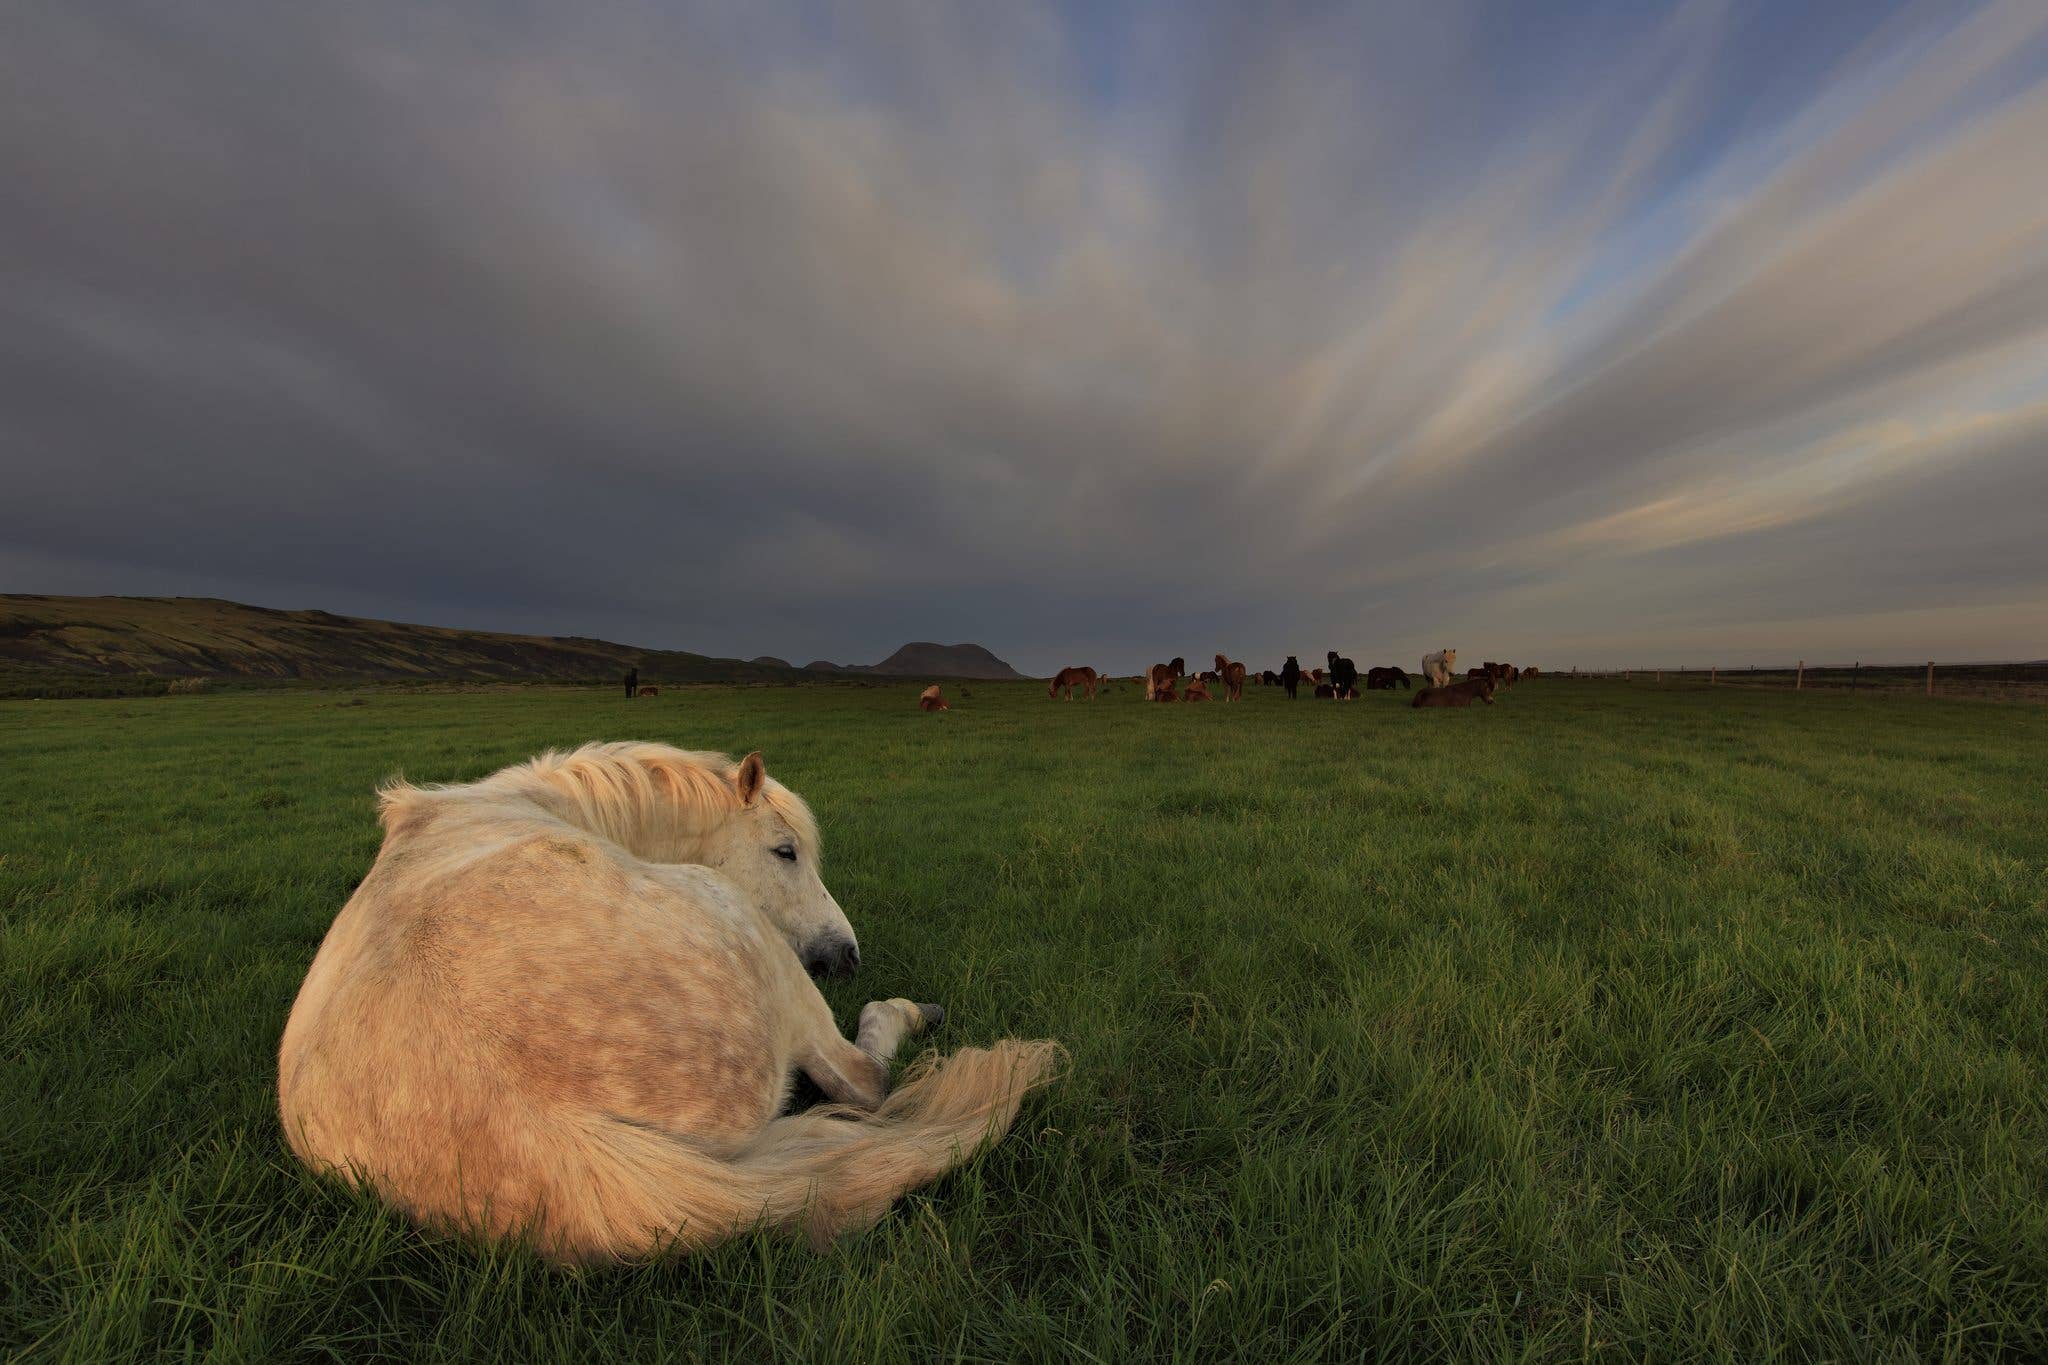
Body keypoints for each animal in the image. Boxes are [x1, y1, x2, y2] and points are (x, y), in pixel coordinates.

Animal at [277, 742, 1059, 1263]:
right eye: (785, 851)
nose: (846, 955)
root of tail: (553, 1133)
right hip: (747, 932)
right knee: (863, 1080)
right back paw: (909, 1015)